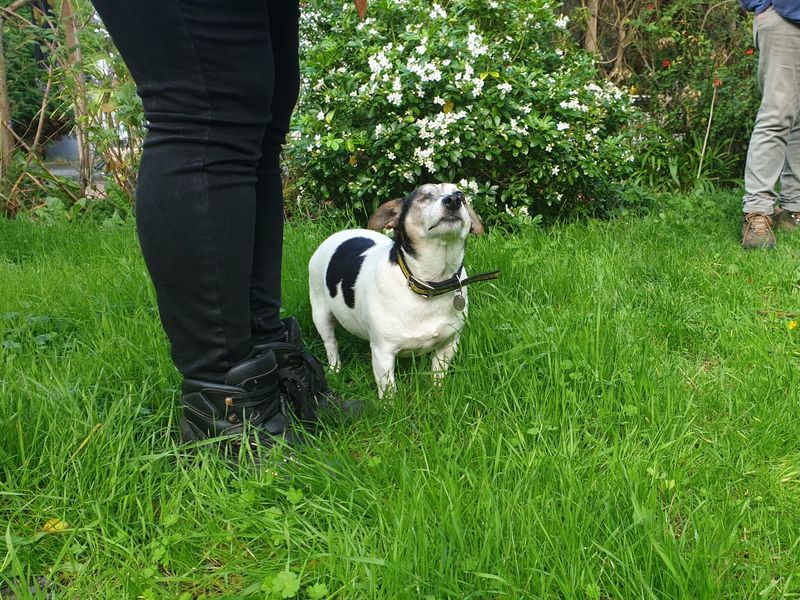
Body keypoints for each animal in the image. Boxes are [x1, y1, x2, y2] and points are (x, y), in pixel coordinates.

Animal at [310, 183, 496, 398]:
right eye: (423, 197)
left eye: (461, 196)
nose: (454, 200)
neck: (430, 283)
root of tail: (337, 235)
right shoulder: (383, 354)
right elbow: (388, 390)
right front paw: (389, 404)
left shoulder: (448, 344)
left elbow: (438, 374)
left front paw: (437, 392)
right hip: (320, 314)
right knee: (330, 344)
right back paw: (334, 369)